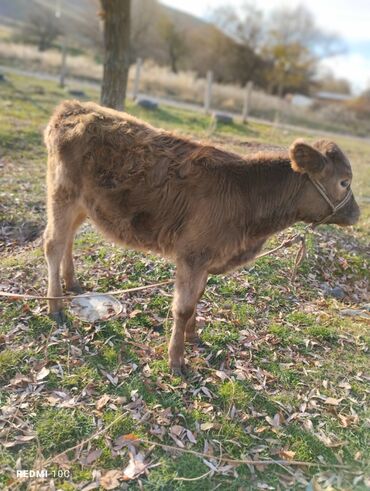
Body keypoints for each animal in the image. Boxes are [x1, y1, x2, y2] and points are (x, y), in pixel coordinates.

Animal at [43, 102, 358, 374]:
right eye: (344, 182)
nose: (356, 213)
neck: (245, 196)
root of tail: (74, 107)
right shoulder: (192, 256)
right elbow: (183, 308)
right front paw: (176, 360)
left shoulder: (207, 257)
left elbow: (198, 298)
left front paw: (193, 336)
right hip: (63, 194)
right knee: (53, 244)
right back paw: (55, 305)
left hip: (83, 204)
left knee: (68, 238)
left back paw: (72, 283)